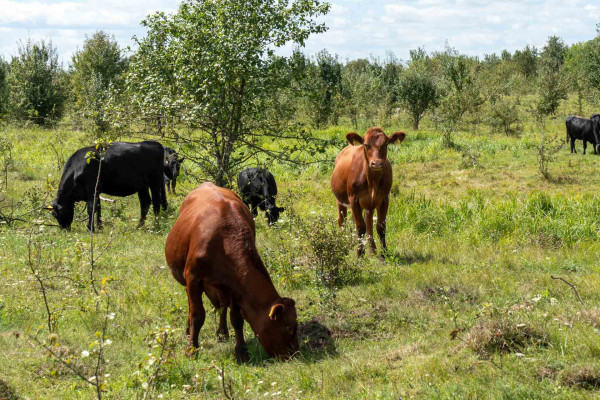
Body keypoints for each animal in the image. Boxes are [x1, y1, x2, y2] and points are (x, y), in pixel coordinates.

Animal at [165, 183, 298, 364]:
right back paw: (188, 331)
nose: (295, 355)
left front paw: (241, 352)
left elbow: (237, 318)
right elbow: (197, 315)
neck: (224, 239)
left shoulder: (235, 286)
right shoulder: (193, 278)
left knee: (222, 307)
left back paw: (222, 333)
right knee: (192, 306)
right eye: (289, 328)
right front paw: (191, 349)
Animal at [330, 126, 406, 256]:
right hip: (340, 200)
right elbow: (360, 227)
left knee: (369, 222)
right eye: (366, 145)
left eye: (385, 144)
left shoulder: (384, 199)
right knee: (342, 221)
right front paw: (359, 253)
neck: (372, 182)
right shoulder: (354, 199)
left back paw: (372, 250)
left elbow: (380, 226)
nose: (377, 163)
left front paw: (384, 253)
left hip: (368, 205)